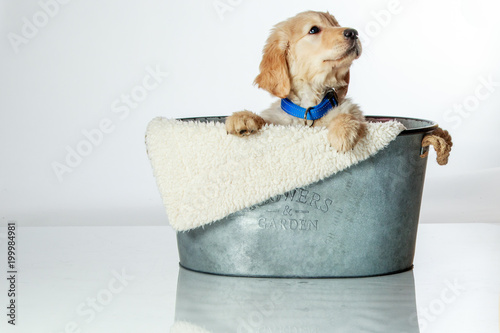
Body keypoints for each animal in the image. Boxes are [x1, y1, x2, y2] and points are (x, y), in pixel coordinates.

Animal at [225, 10, 366, 150]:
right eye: (314, 29)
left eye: (336, 25)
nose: (353, 32)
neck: (310, 108)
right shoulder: (277, 123)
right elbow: (265, 121)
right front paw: (243, 117)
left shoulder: (353, 112)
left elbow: (348, 114)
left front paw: (343, 130)